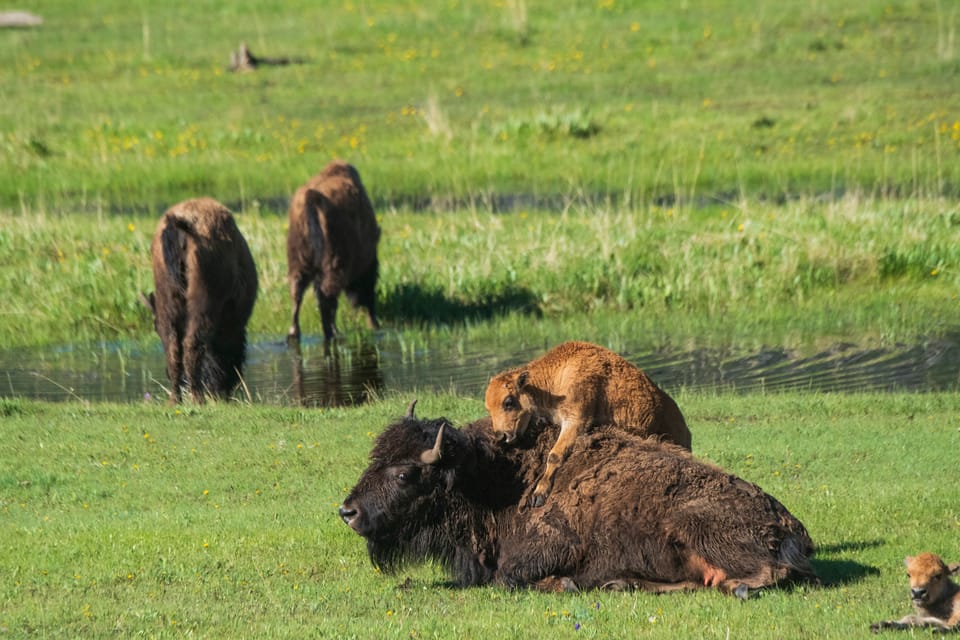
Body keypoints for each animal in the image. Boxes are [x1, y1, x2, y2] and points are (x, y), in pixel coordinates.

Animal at [139, 198, 258, 402]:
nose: (223, 392)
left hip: (167, 300)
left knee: (173, 348)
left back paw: (176, 399)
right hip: (203, 302)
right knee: (191, 344)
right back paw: (197, 398)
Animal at [284, 158, 378, 342]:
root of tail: (312, 197)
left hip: (298, 261)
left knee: (297, 293)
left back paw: (294, 333)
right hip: (334, 264)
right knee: (327, 299)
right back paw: (333, 333)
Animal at [338, 404, 816, 596]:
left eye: (405, 474)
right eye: (373, 460)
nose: (348, 511)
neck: (489, 479)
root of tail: (793, 528)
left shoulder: (551, 549)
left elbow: (509, 578)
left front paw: (564, 584)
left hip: (695, 526)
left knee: (766, 573)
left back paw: (736, 588)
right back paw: (623, 584)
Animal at [488, 342, 688, 508]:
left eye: (508, 402)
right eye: (488, 408)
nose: (501, 436)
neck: (553, 380)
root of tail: (683, 424)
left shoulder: (576, 420)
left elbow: (554, 455)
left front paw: (538, 494)